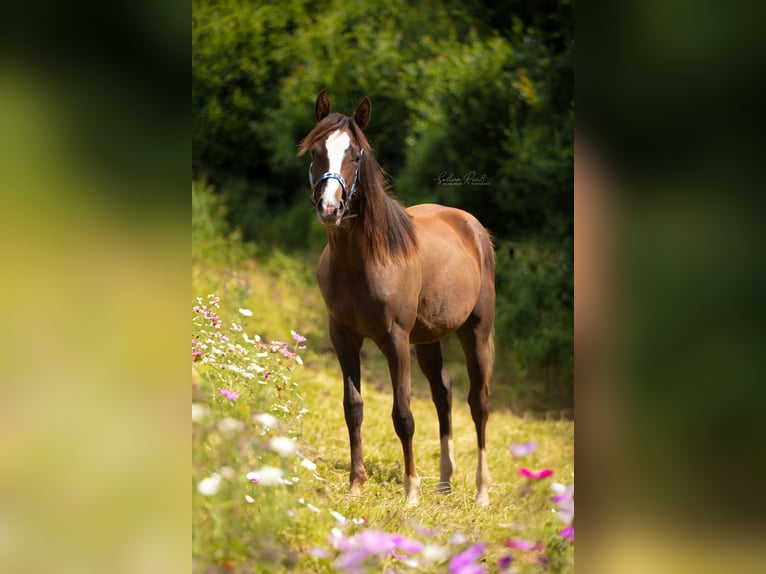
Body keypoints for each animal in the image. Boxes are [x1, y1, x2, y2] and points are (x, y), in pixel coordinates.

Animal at [300, 90, 498, 508]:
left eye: (356, 155)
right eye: (316, 152)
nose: (330, 208)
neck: (363, 261)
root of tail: (473, 228)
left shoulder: (395, 340)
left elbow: (403, 415)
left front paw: (410, 491)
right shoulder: (343, 337)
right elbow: (353, 408)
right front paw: (356, 484)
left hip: (476, 334)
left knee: (479, 402)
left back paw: (481, 490)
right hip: (428, 339)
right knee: (443, 392)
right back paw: (444, 481)